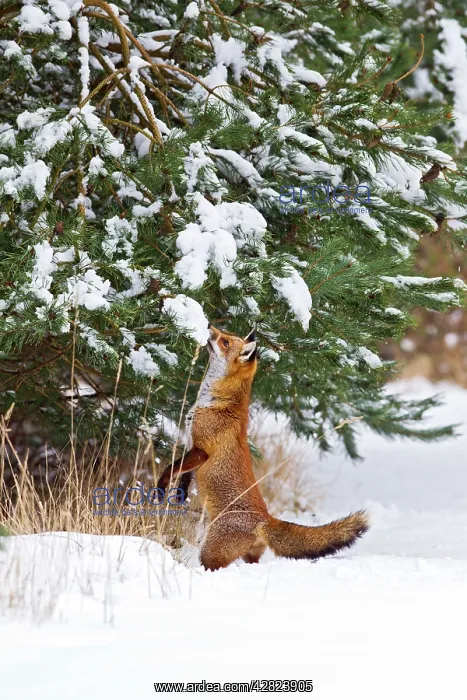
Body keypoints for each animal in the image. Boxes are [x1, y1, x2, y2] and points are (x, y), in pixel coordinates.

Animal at [158, 324, 369, 571]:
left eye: (225, 342)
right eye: (225, 335)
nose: (209, 325)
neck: (218, 402)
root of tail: (265, 518)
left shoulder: (202, 450)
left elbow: (171, 467)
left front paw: (161, 489)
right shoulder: (193, 446)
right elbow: (184, 473)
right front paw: (180, 495)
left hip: (210, 553)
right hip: (248, 556)